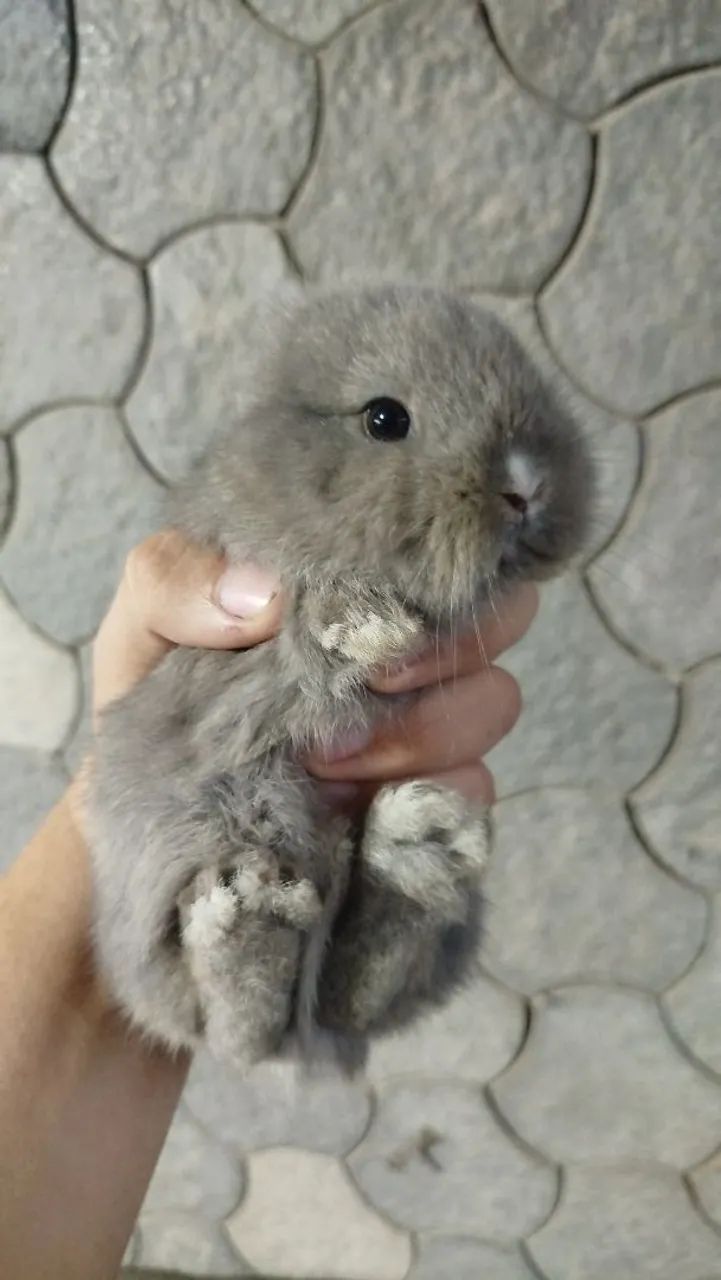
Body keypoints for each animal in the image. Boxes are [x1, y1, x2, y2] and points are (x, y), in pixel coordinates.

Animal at [89, 284, 593, 1072]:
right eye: (384, 418)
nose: (526, 486)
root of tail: (305, 1048)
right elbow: (305, 635)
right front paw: (366, 624)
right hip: (168, 861)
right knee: (234, 1023)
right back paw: (248, 913)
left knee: (349, 991)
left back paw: (415, 856)